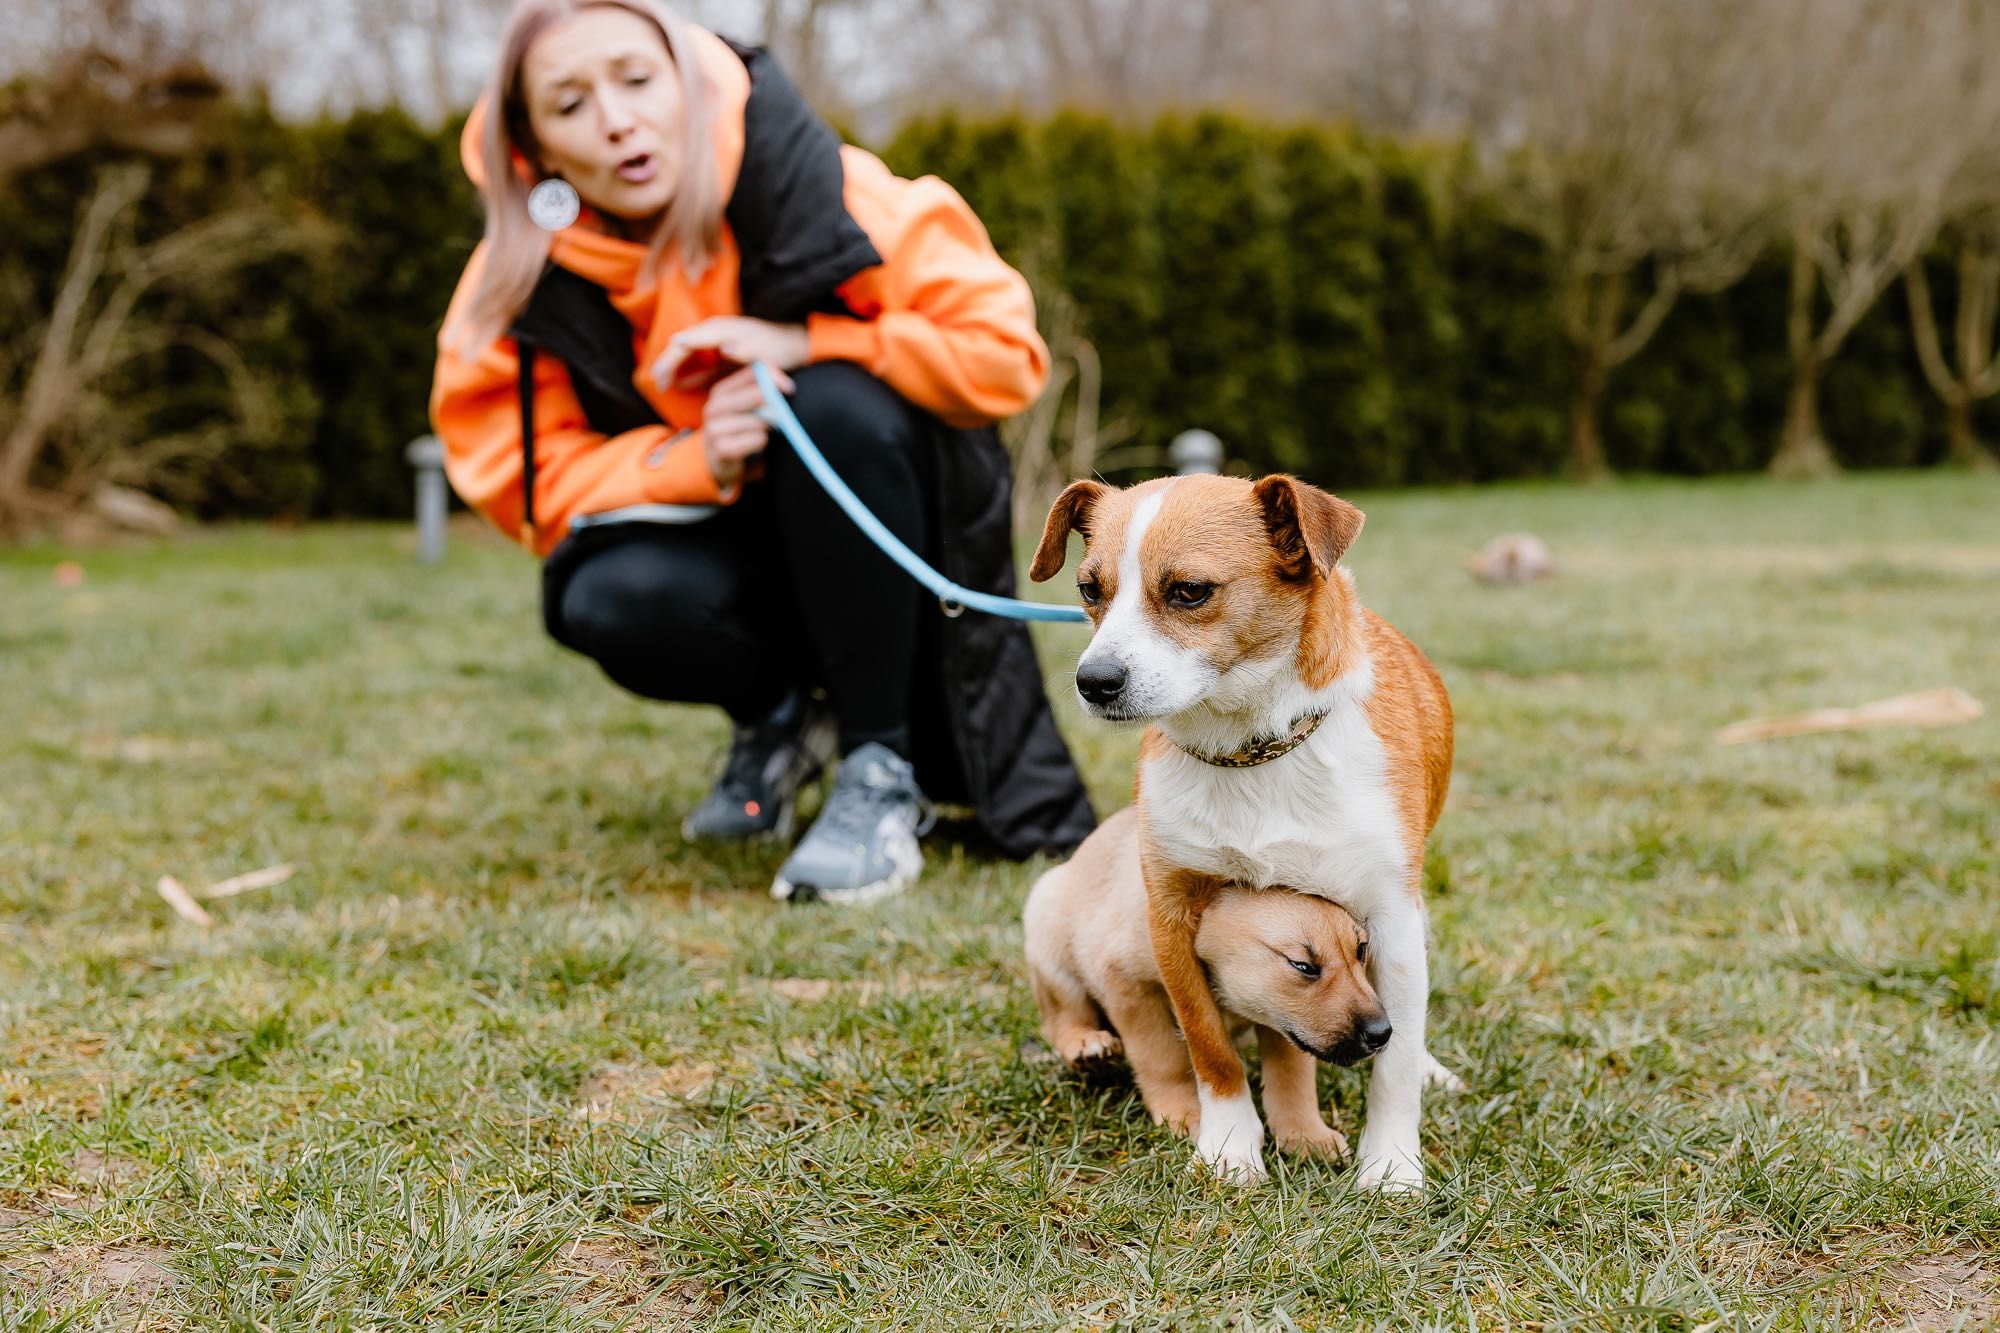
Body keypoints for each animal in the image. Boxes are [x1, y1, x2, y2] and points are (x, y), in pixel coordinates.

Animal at [1032, 474, 1456, 1184]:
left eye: (1189, 591)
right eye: (1090, 589)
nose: (1093, 682)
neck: (1249, 751)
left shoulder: (1391, 918)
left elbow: (1390, 1065)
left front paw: (1392, 1168)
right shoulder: (1170, 914)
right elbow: (1209, 1049)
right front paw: (1229, 1144)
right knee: (1061, 1006)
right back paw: (1085, 1042)